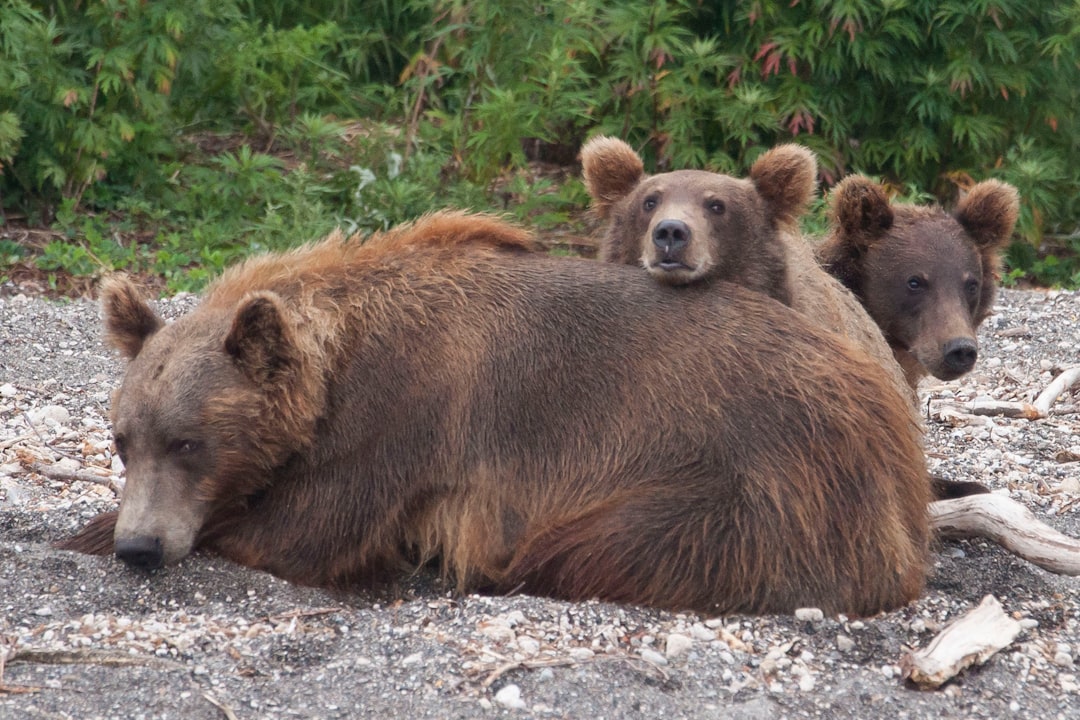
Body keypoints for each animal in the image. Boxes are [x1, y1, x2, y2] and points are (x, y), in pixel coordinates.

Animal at [58, 211, 930, 617]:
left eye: (189, 441)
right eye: (122, 439)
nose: (141, 545)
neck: (336, 367)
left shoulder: (405, 415)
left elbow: (309, 528)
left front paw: (96, 531)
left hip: (748, 471)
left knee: (597, 544)